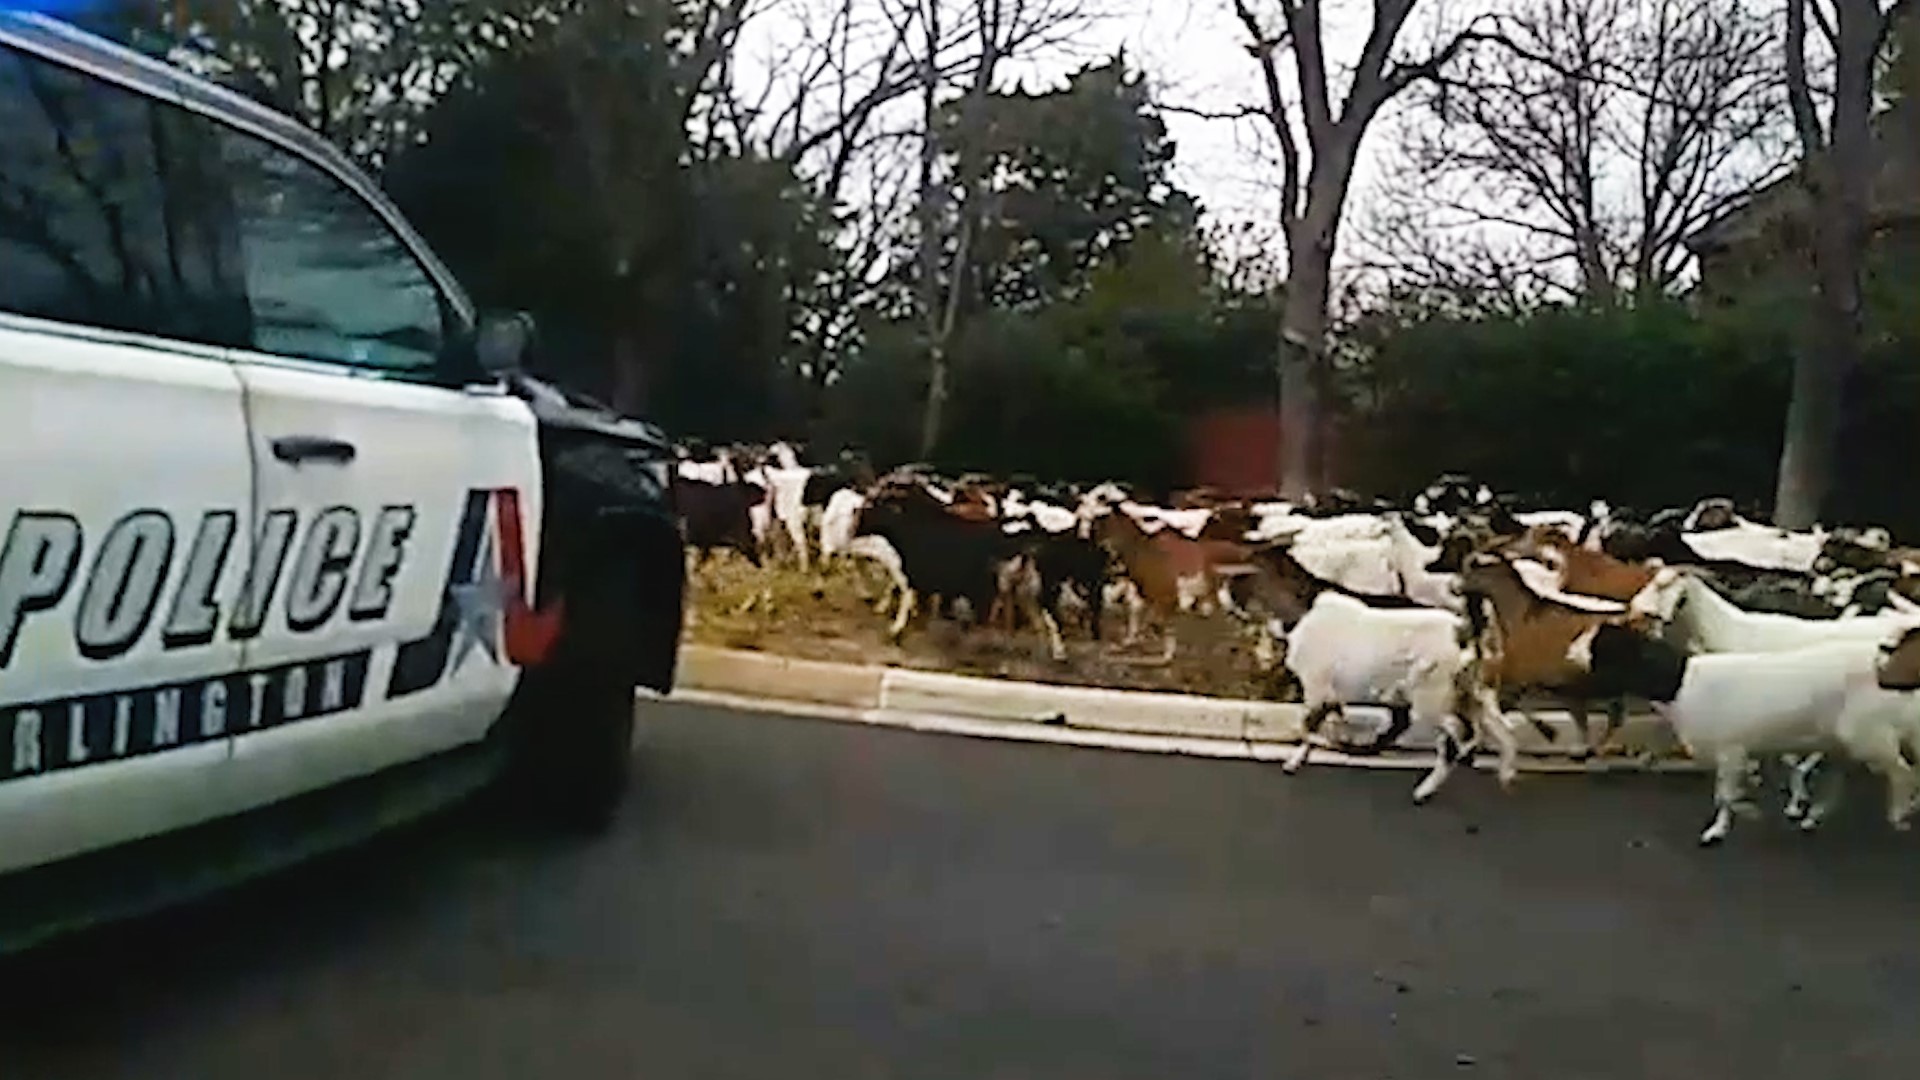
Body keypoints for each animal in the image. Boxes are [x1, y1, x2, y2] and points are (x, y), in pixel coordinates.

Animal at [1274, 588, 1512, 799]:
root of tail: (1464, 630)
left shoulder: (1315, 687)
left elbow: (1305, 726)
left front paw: (1293, 762)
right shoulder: (1329, 695)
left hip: (1431, 696)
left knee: (1458, 734)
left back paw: (1424, 791)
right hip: (1472, 692)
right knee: (1499, 729)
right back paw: (1505, 775)